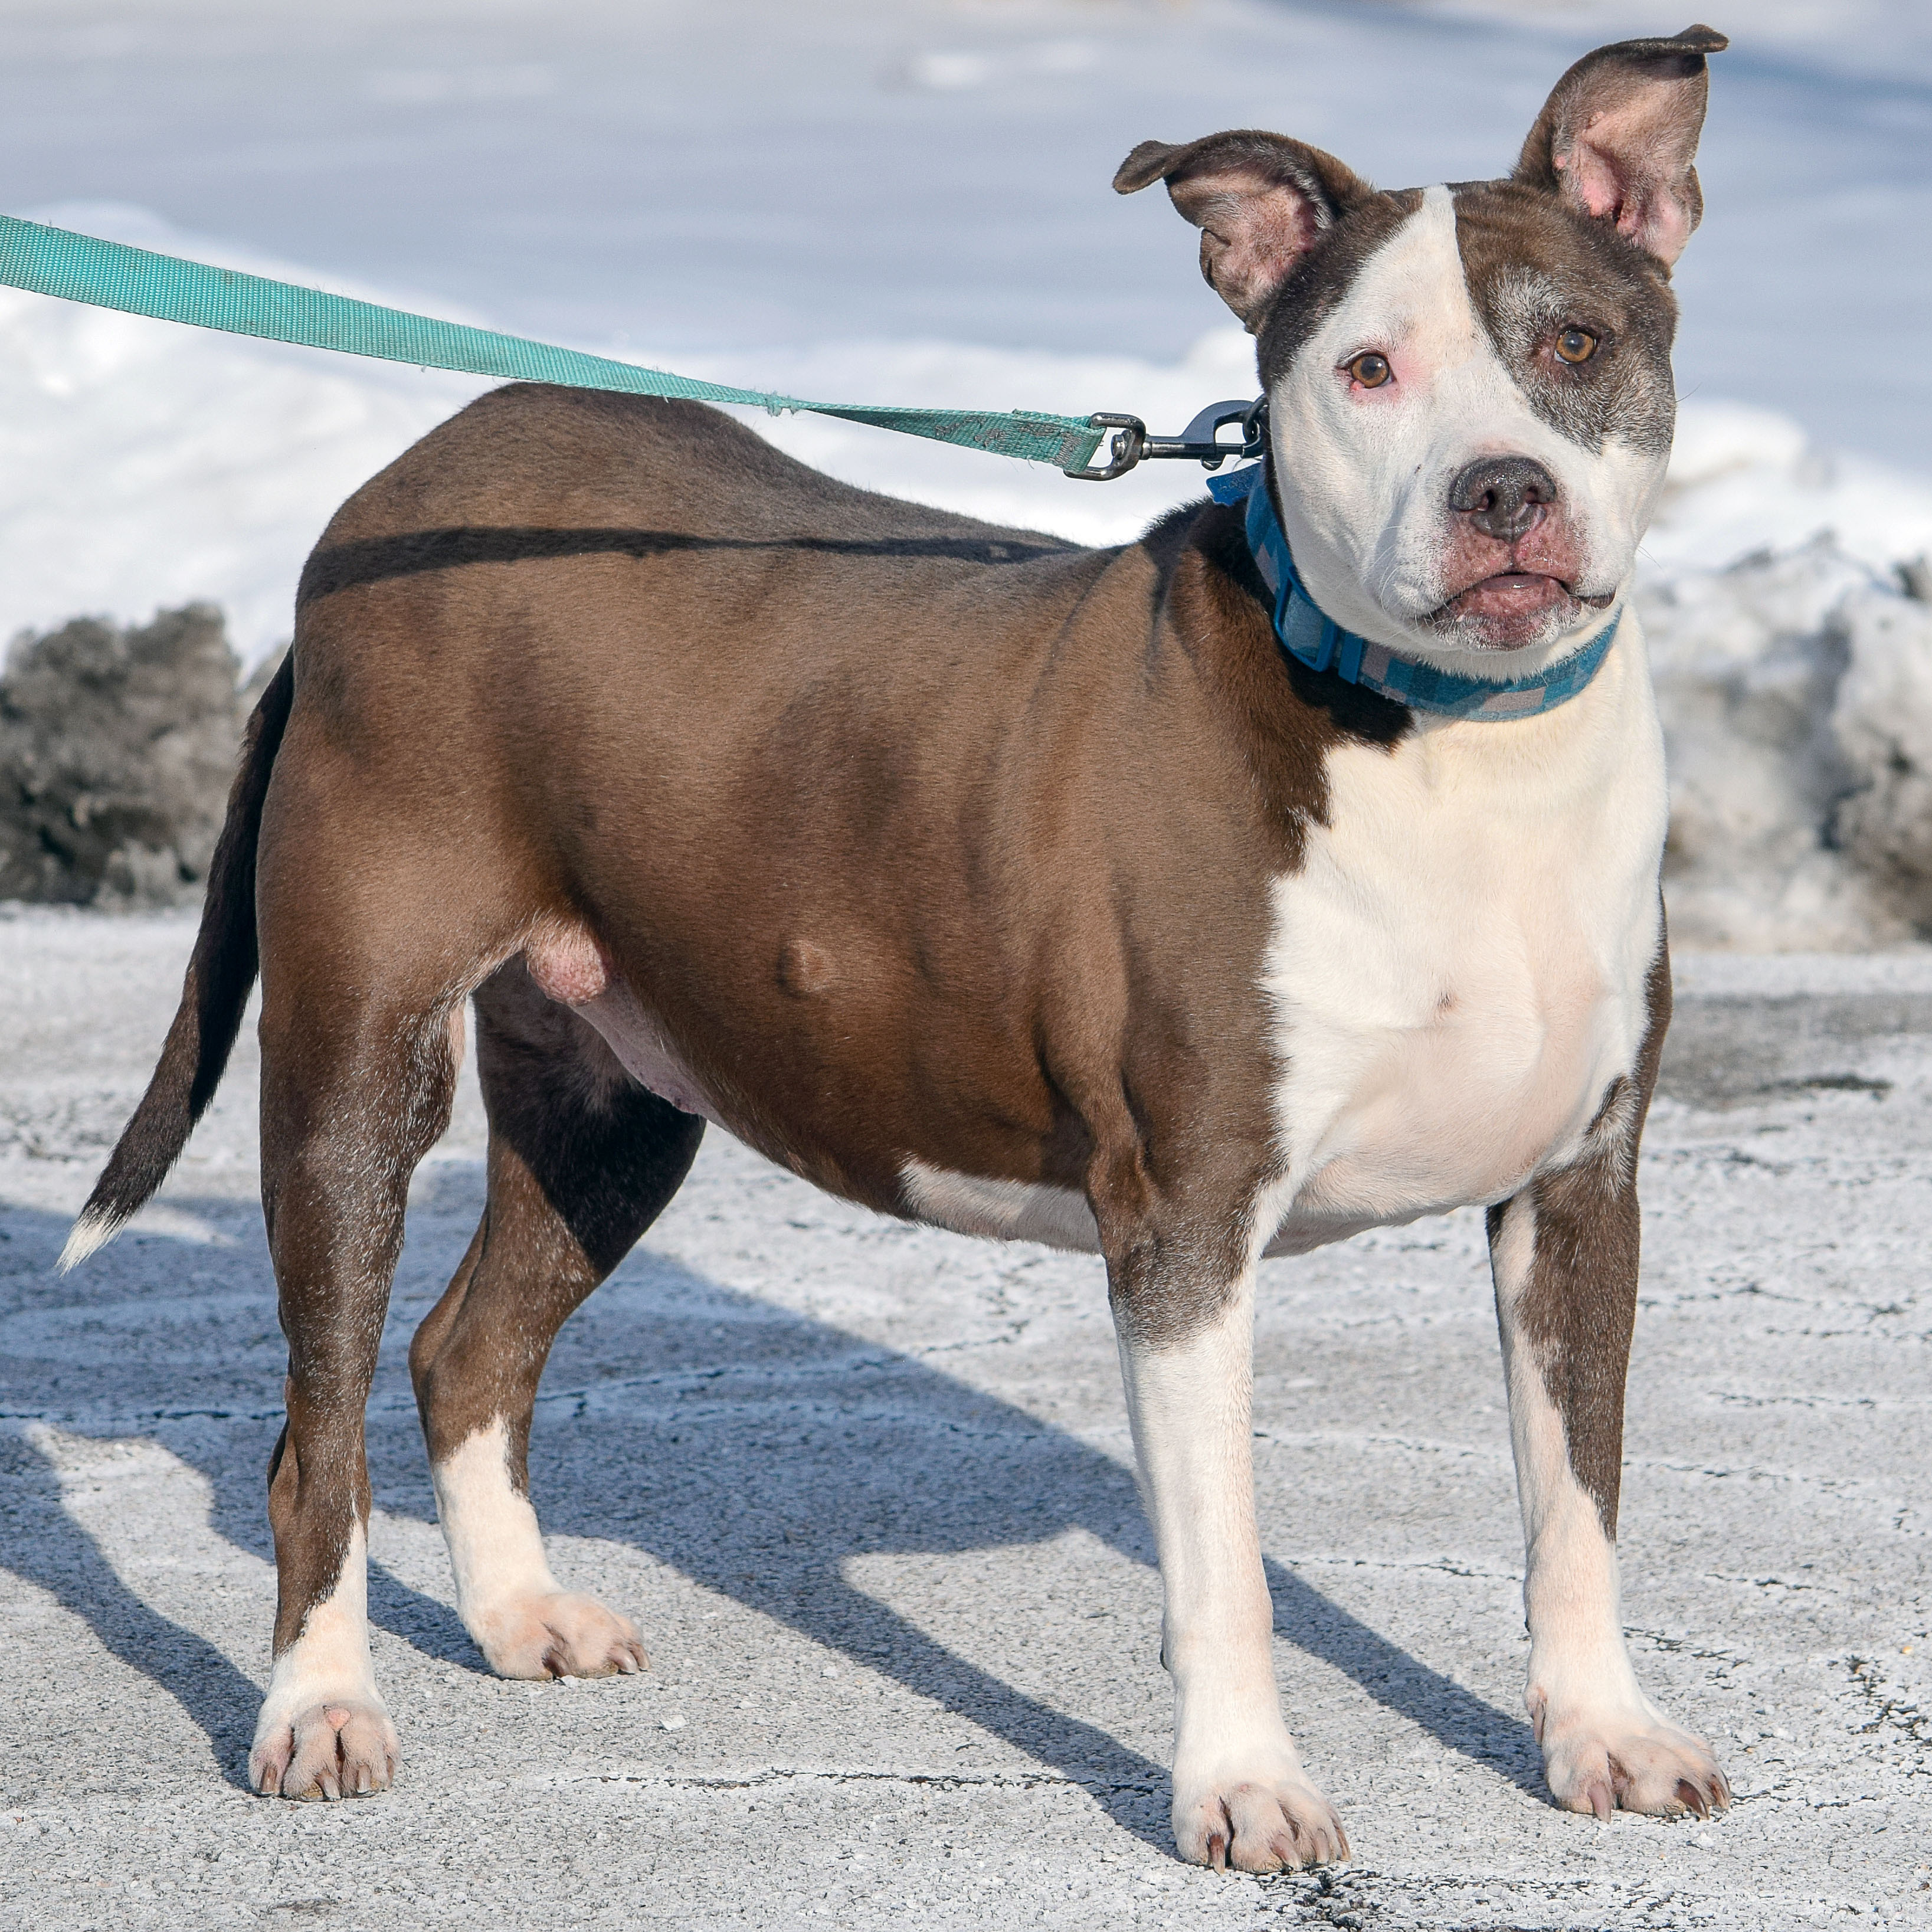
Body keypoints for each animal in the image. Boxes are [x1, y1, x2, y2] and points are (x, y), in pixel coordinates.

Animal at [71, 26, 1738, 1870]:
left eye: (1573, 344)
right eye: (1367, 371)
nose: (1499, 488)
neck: (1446, 743)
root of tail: (373, 508)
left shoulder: (1577, 1192)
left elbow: (1574, 1506)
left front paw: (1601, 1736)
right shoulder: (1187, 1224)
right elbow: (1221, 1568)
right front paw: (1243, 1785)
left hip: (614, 1091)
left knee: (464, 1350)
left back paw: (519, 1615)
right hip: (356, 1064)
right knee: (317, 1427)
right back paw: (319, 1707)